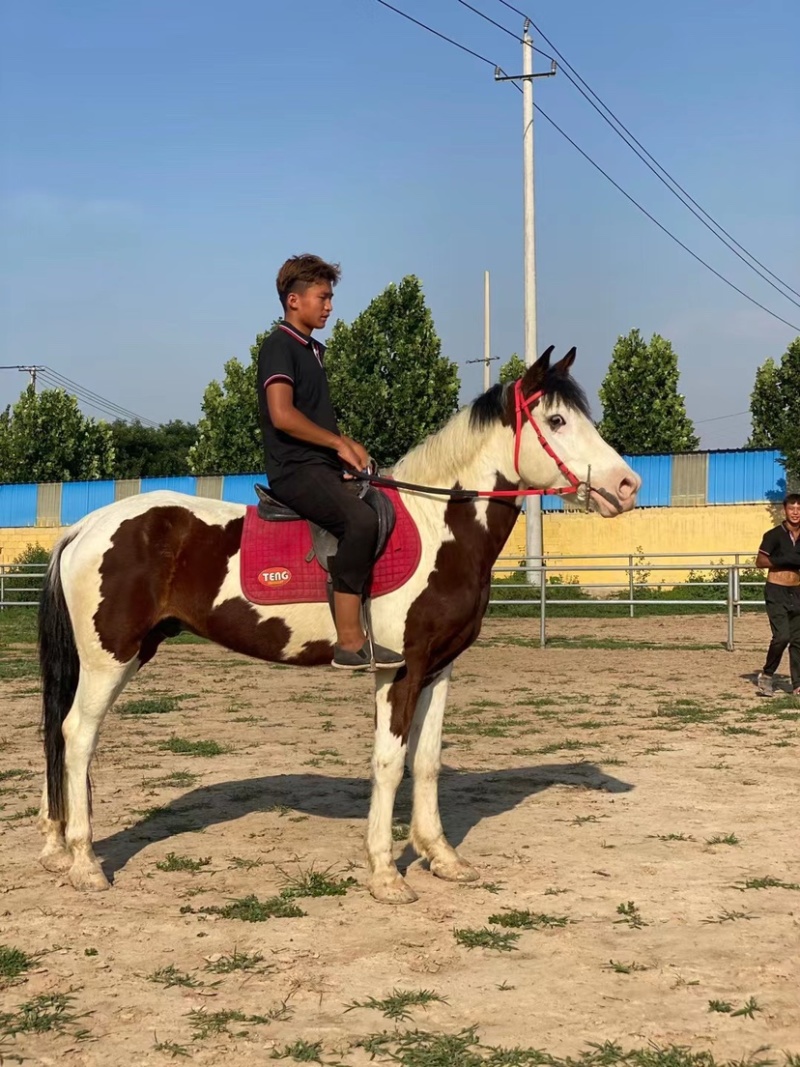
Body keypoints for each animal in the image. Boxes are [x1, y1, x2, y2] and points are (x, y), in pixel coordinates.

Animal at [36, 346, 640, 904]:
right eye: (557, 421)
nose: (627, 485)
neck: (438, 527)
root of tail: (87, 525)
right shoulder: (397, 671)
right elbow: (389, 763)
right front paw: (385, 874)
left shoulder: (439, 668)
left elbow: (427, 763)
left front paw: (441, 857)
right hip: (109, 659)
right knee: (77, 735)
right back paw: (85, 864)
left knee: (62, 734)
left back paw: (56, 846)